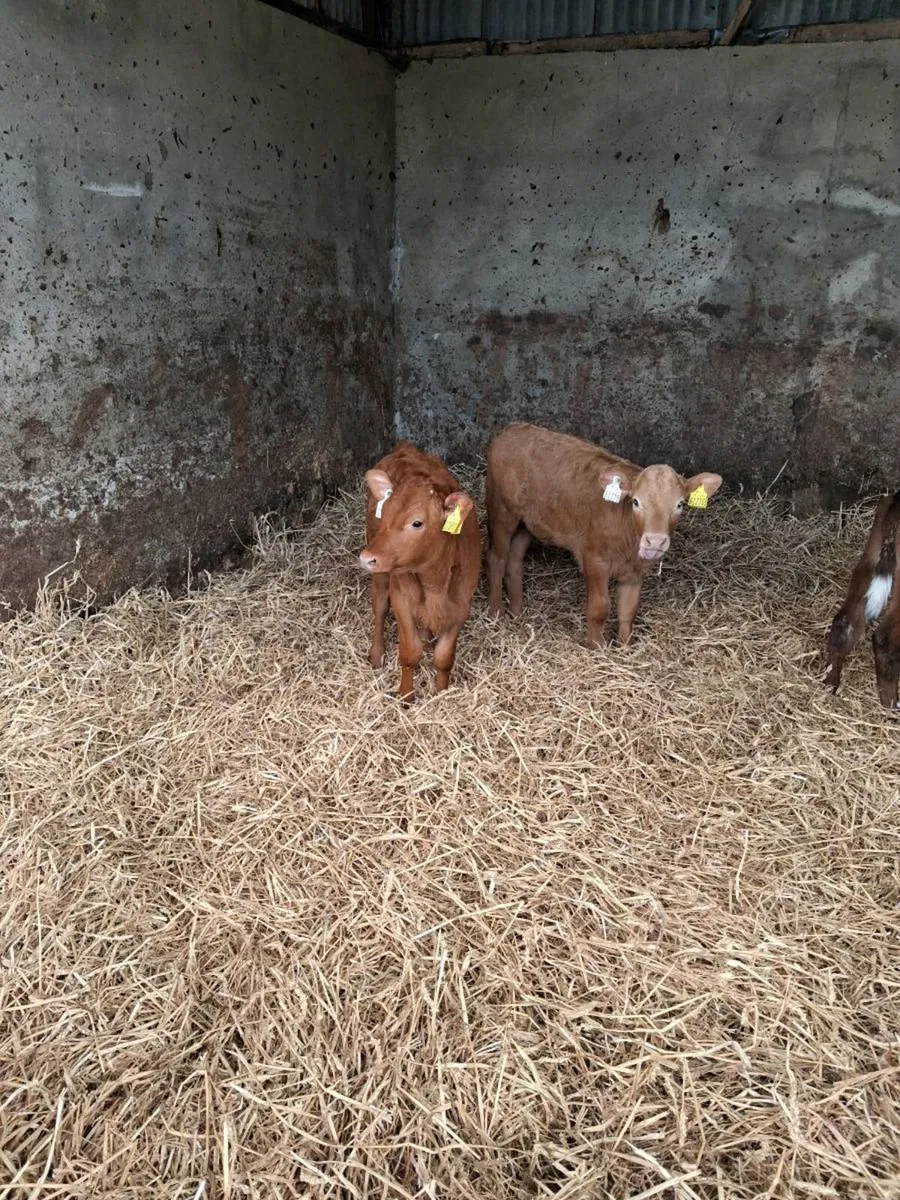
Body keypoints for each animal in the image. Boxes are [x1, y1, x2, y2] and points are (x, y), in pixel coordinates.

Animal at [358, 442, 481, 702]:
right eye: (384, 513)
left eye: (417, 523)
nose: (366, 558)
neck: (433, 580)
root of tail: (405, 447)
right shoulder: (401, 599)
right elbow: (409, 653)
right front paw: (406, 697)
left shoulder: (461, 606)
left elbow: (444, 657)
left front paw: (441, 693)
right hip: (381, 572)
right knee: (379, 606)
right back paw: (376, 654)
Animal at [485, 423, 722, 647]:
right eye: (636, 502)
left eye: (680, 504)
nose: (655, 541)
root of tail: (512, 428)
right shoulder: (594, 560)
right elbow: (600, 608)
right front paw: (597, 647)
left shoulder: (636, 571)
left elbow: (628, 610)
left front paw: (624, 648)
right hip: (501, 511)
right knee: (496, 558)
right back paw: (496, 613)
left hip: (528, 523)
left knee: (514, 560)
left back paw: (517, 612)